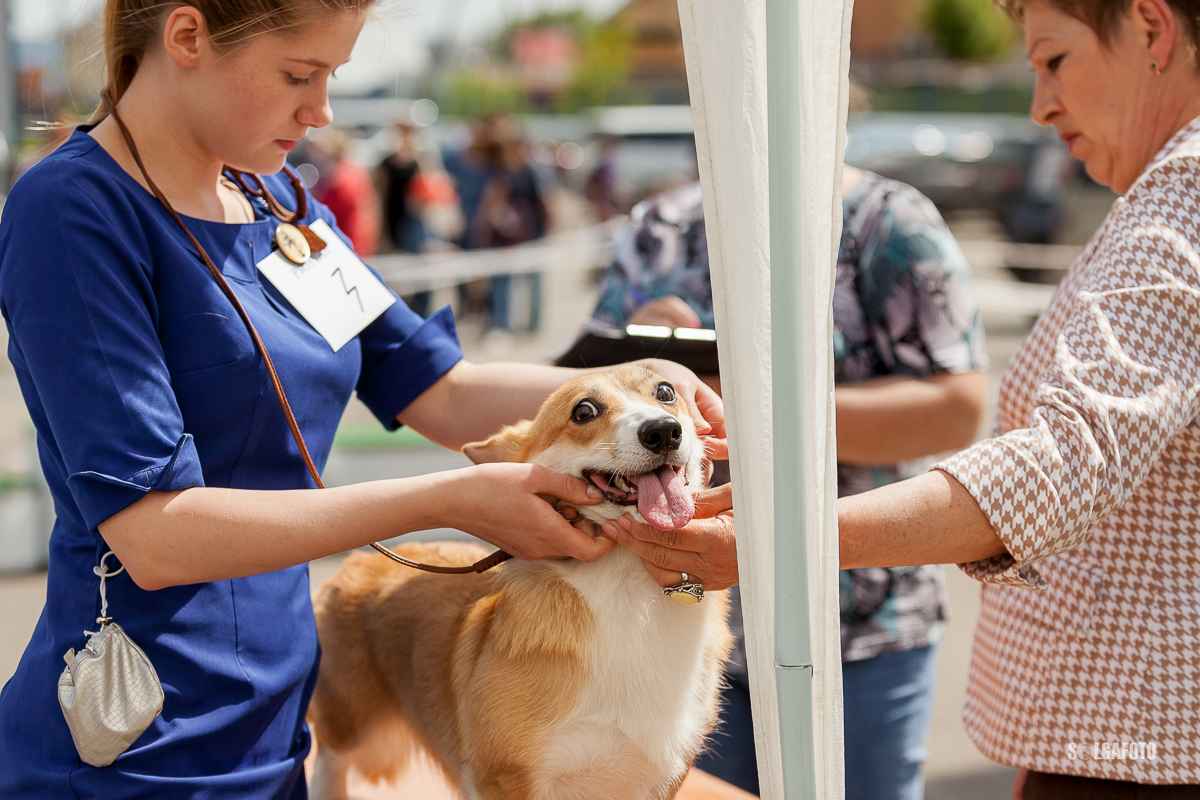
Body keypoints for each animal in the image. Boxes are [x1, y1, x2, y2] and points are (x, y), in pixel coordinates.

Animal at [307, 364, 729, 800]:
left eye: (665, 392)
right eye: (584, 411)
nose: (663, 431)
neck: (627, 584)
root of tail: (358, 559)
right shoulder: (503, 779)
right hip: (345, 734)